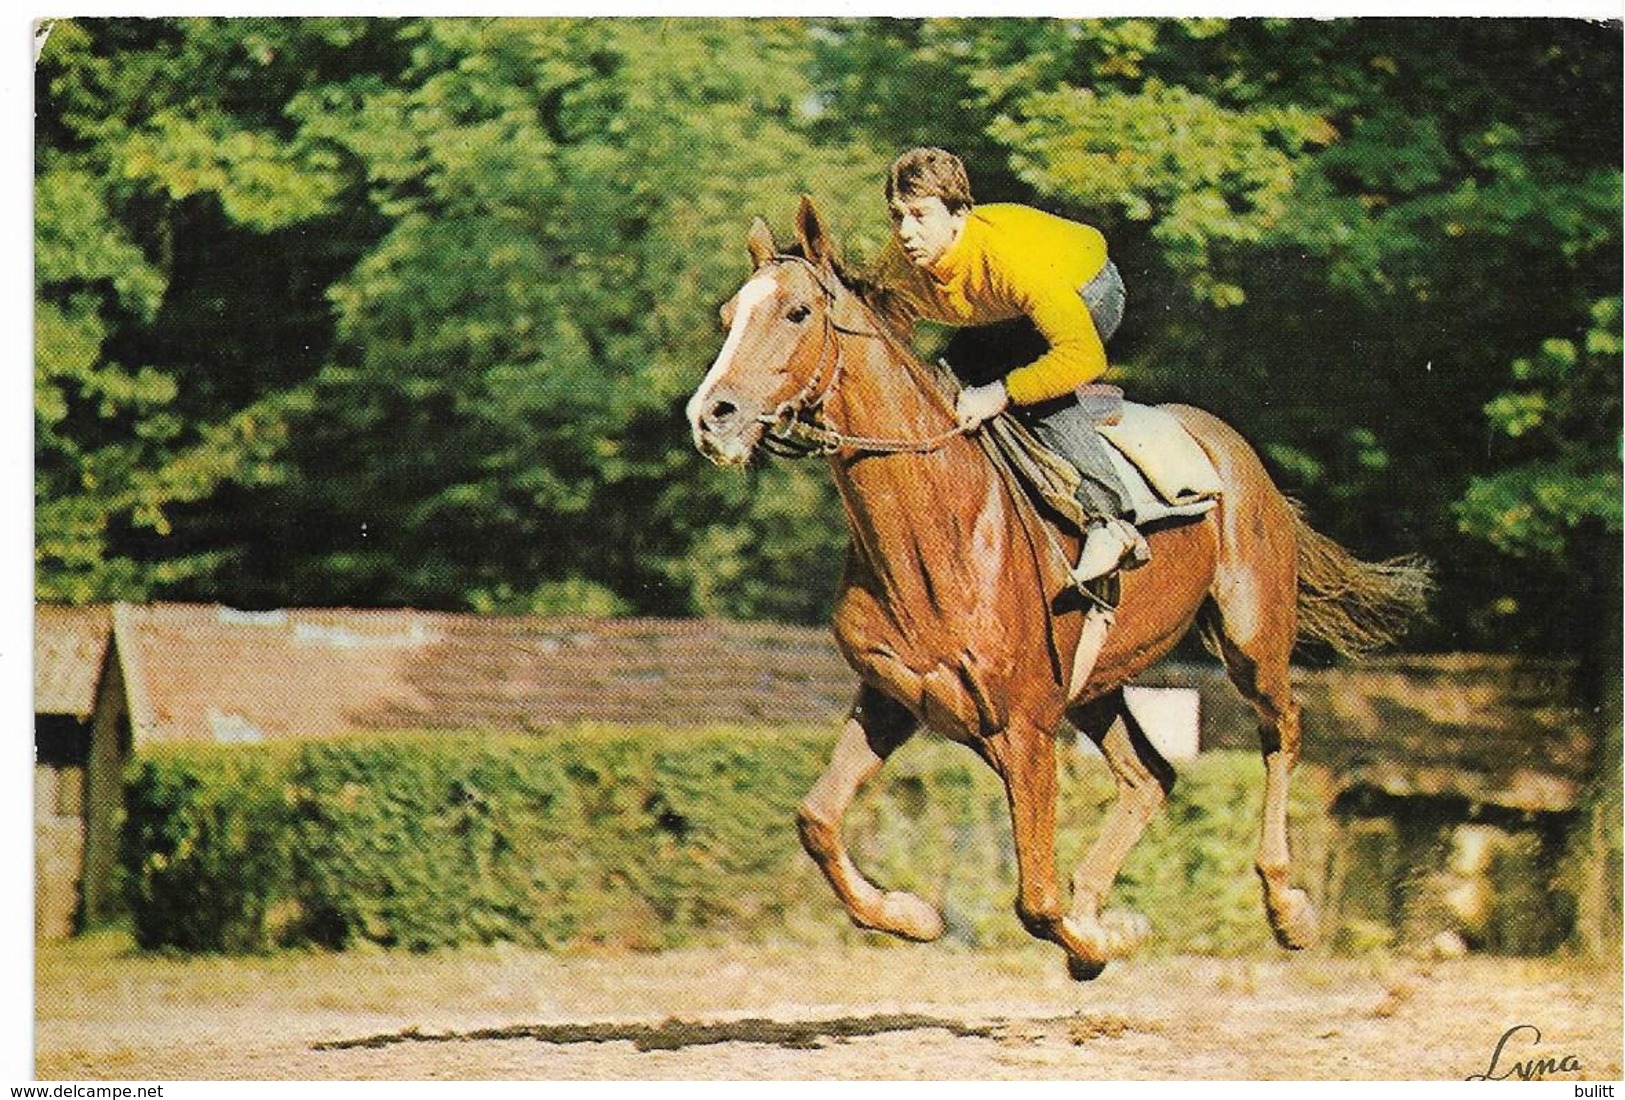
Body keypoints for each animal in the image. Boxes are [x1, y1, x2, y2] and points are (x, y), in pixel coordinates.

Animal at [685, 197, 1436, 981]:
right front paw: (913, 914)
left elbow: (1036, 903)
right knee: (1149, 775)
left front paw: (1104, 938)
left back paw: (1286, 907)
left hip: (1251, 638)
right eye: (728, 313)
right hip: (1097, 683)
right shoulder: (896, 699)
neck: (939, 527)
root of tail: (1234, 450)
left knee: (1281, 729)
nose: (712, 415)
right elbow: (817, 819)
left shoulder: (1024, 725)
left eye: (797, 311)